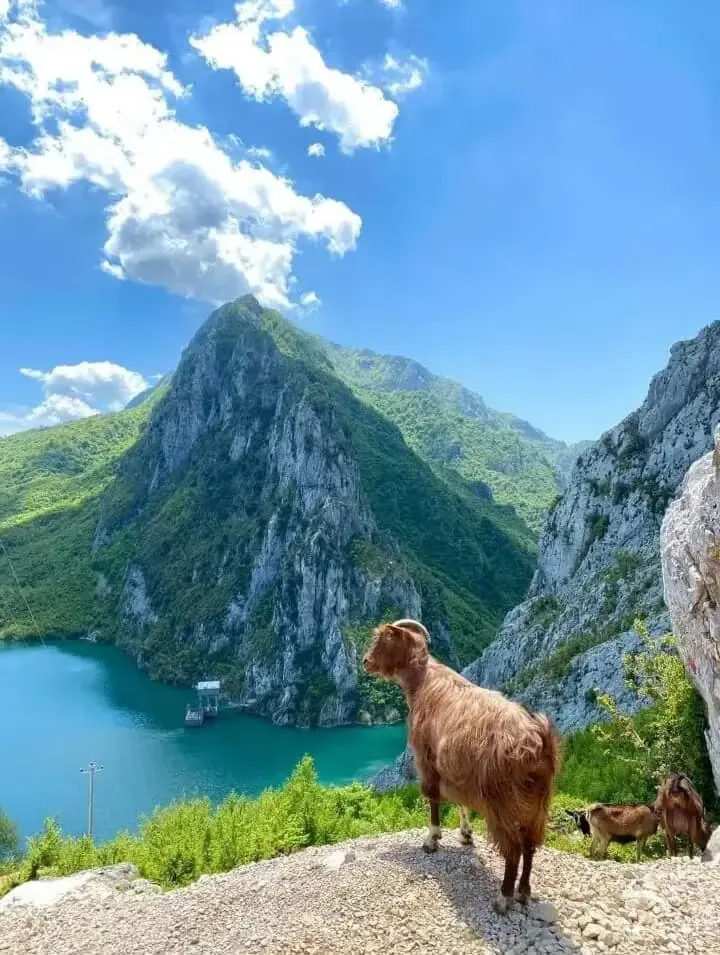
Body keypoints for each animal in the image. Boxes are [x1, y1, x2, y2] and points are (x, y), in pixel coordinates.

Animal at [362, 619, 560, 914]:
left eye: (384, 638)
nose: (365, 661)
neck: (424, 681)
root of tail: (538, 738)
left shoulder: (427, 759)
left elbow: (433, 797)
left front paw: (432, 840)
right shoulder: (456, 771)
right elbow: (459, 802)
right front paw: (466, 834)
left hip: (503, 803)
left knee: (513, 849)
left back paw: (503, 897)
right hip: (538, 805)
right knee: (529, 845)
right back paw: (523, 891)